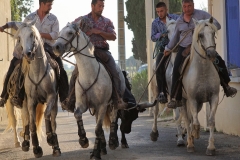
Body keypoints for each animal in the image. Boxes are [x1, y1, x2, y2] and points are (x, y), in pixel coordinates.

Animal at [14, 20, 61, 158]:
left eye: (32, 35)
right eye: (19, 38)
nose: (27, 54)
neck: (37, 72)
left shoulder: (51, 96)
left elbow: (47, 115)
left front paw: (50, 138)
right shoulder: (31, 100)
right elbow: (32, 122)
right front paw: (36, 148)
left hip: (54, 103)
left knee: (53, 119)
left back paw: (55, 146)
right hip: (24, 102)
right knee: (26, 119)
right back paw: (25, 142)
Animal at [52, 20, 127, 159]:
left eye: (70, 33)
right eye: (59, 32)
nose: (56, 47)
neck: (90, 74)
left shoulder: (102, 105)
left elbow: (98, 129)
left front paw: (96, 153)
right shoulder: (83, 104)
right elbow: (78, 115)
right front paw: (83, 140)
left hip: (113, 103)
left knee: (114, 117)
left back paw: (112, 141)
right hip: (95, 108)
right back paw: (101, 148)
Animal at [181, 17, 220, 155]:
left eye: (213, 33)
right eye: (201, 35)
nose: (212, 54)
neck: (202, 70)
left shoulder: (214, 97)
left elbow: (211, 121)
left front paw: (211, 148)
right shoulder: (192, 99)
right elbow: (195, 122)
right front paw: (195, 135)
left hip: (199, 104)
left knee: (191, 119)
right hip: (183, 100)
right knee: (188, 120)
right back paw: (190, 143)